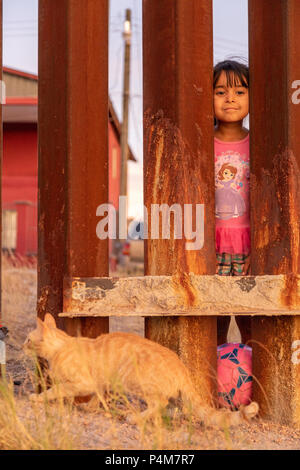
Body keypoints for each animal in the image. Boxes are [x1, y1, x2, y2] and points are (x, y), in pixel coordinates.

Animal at [23, 314, 258, 428]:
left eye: (28, 340)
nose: (22, 346)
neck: (61, 347)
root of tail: (181, 366)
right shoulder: (101, 380)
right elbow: (98, 394)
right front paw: (90, 407)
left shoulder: (82, 383)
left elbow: (57, 390)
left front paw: (37, 398)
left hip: (132, 379)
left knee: (159, 404)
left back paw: (134, 418)